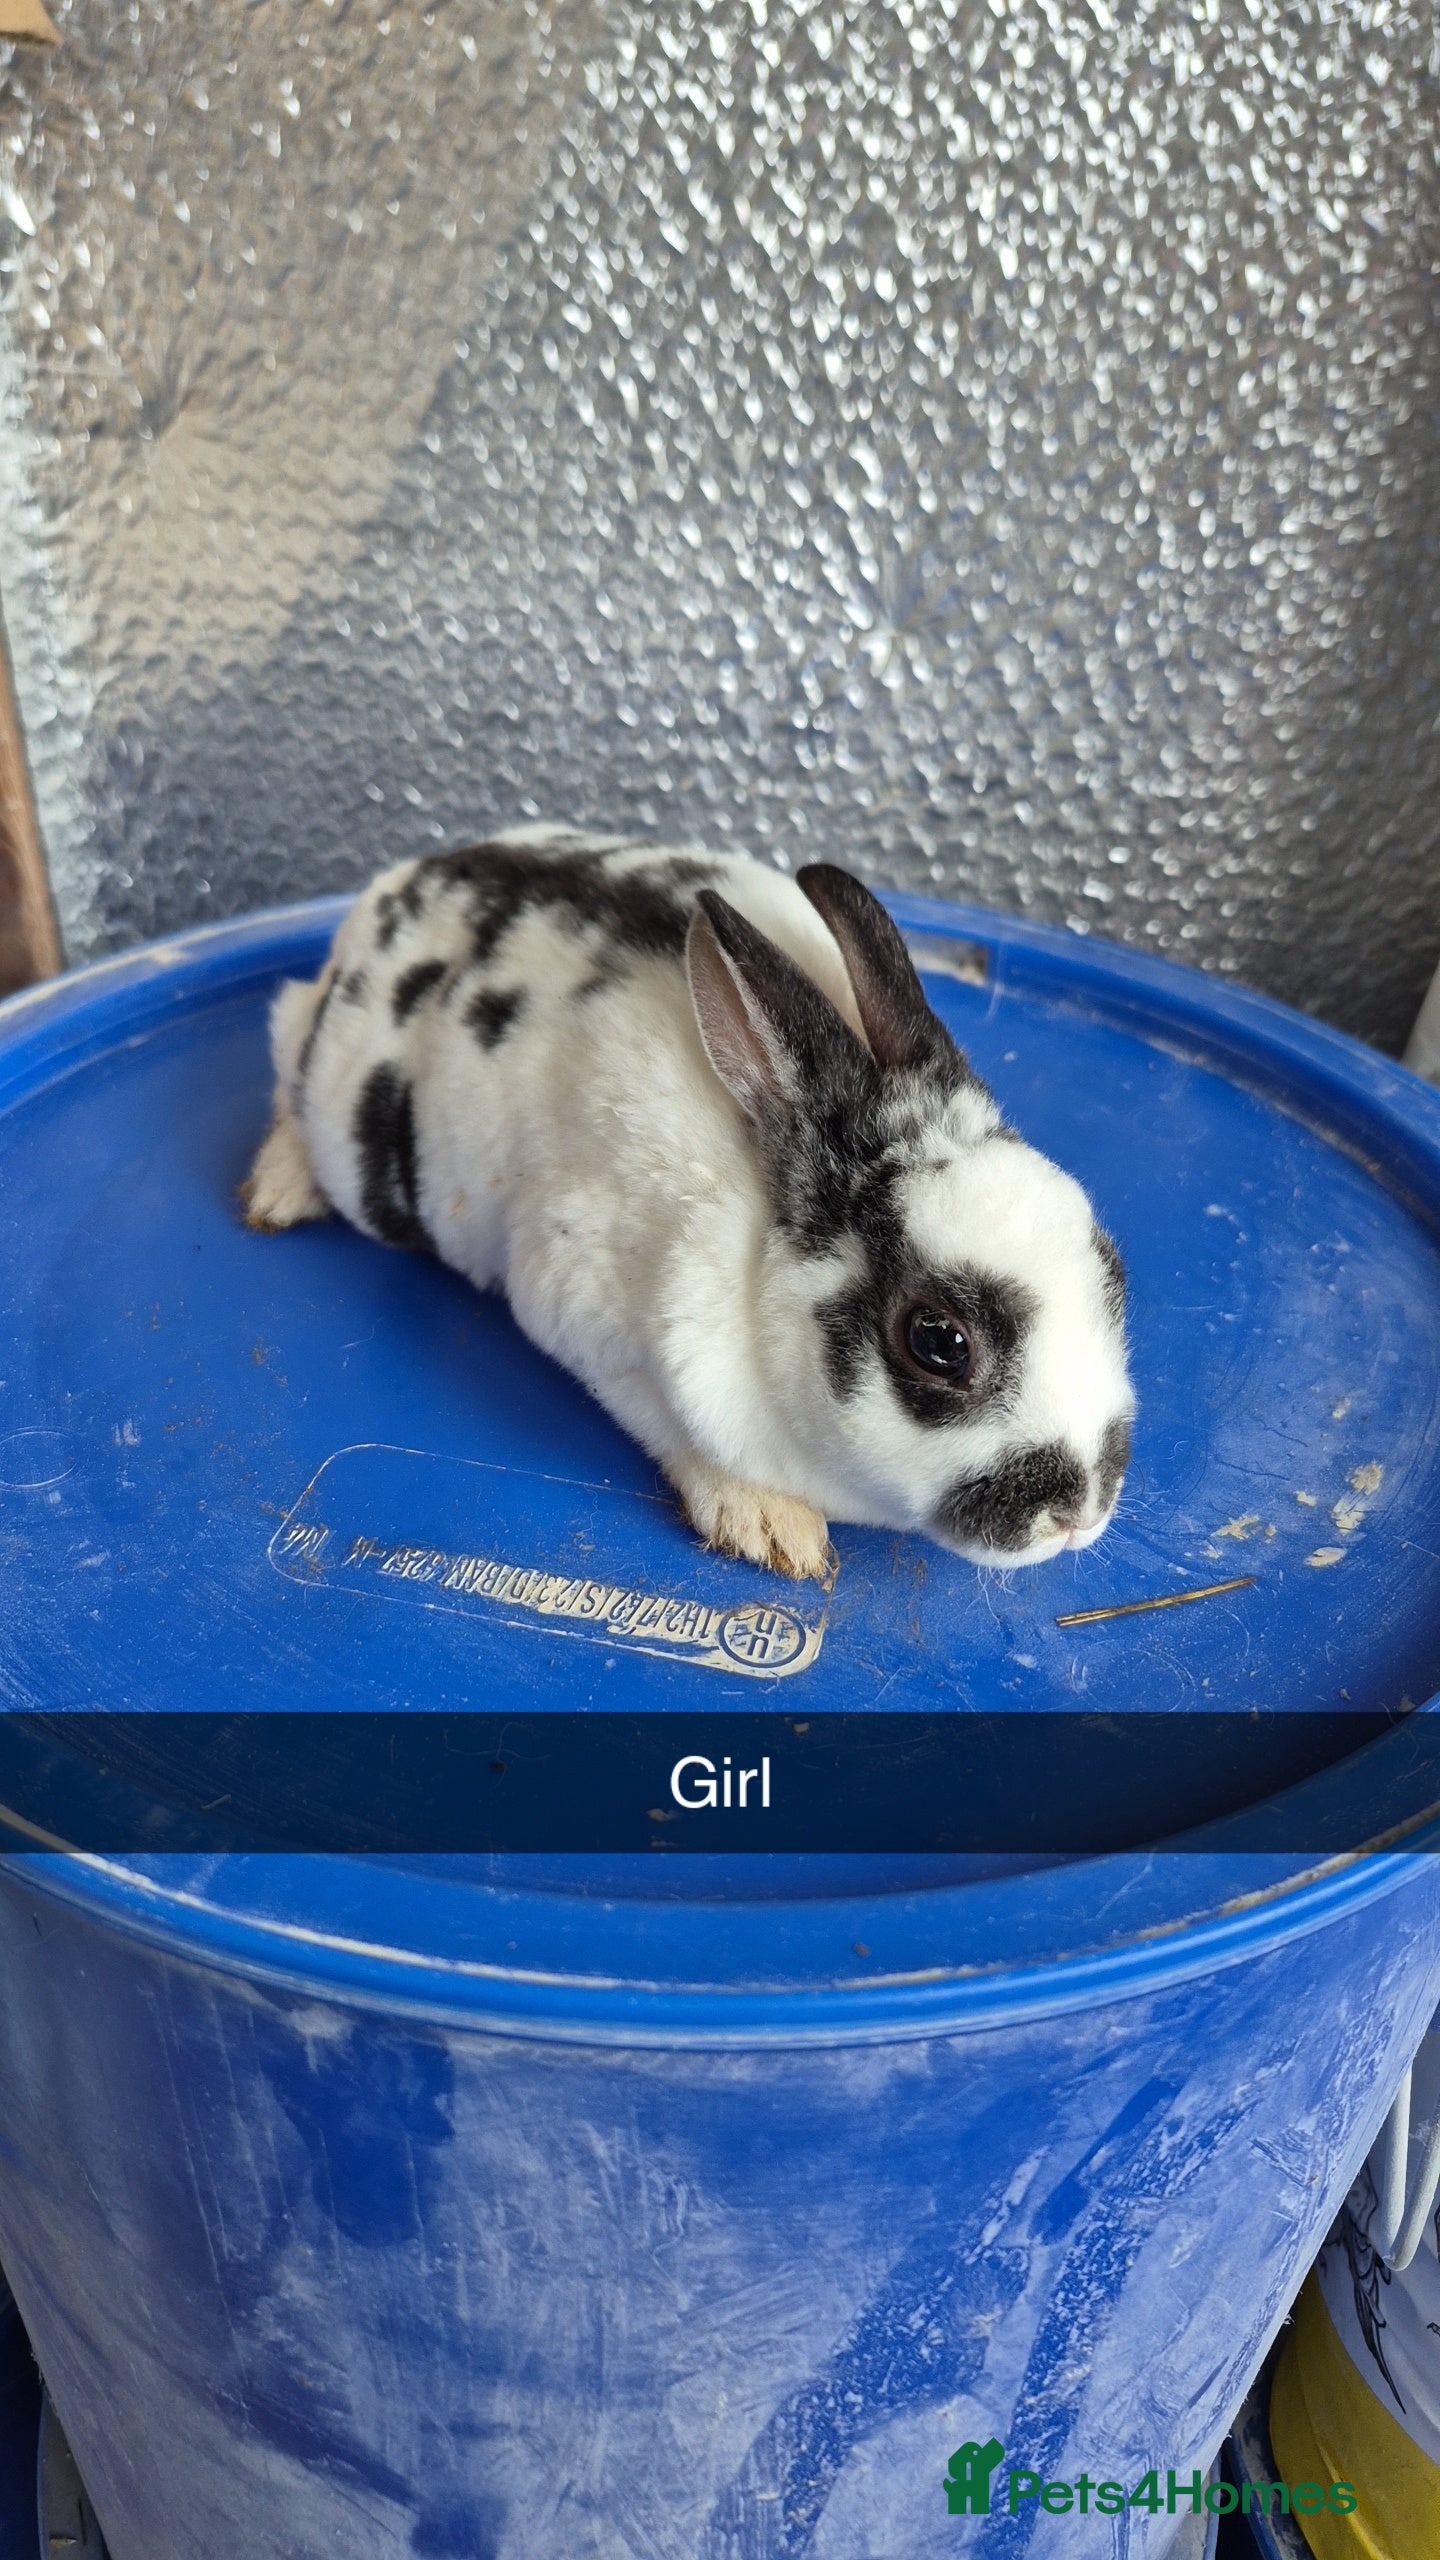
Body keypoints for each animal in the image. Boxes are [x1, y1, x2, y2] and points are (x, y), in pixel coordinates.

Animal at [243, 826, 1134, 1583]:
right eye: (939, 1342)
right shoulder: (588, 1316)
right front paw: (773, 1527)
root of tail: (396, 882)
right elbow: (676, 1429)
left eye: (1112, 1270)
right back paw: (277, 1193)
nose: (1080, 1515)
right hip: (313, 1061)